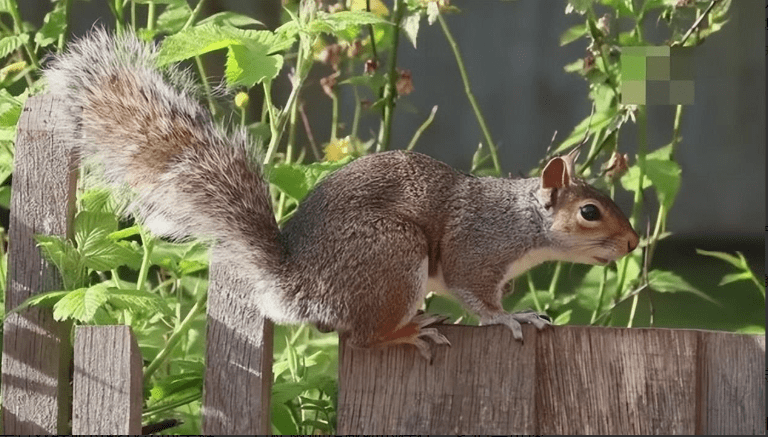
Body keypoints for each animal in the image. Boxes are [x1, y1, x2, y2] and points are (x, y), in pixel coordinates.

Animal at [44, 29, 639, 360]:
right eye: (590, 212)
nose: (633, 243)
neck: (524, 225)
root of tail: (296, 287)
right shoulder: (477, 250)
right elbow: (477, 296)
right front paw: (510, 318)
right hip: (392, 253)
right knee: (362, 339)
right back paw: (407, 332)